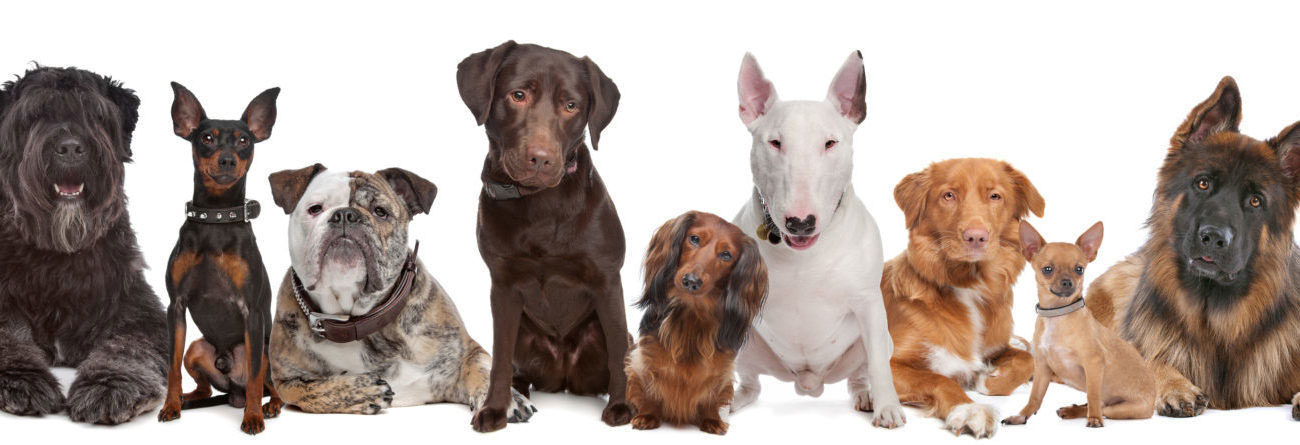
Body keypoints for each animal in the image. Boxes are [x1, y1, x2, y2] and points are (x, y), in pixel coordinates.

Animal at [0, 66, 167, 424]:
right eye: (36, 114)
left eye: (95, 114)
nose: (70, 149)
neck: (60, 255)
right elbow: (9, 339)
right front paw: (22, 380)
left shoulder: (137, 308)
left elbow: (127, 347)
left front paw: (109, 387)